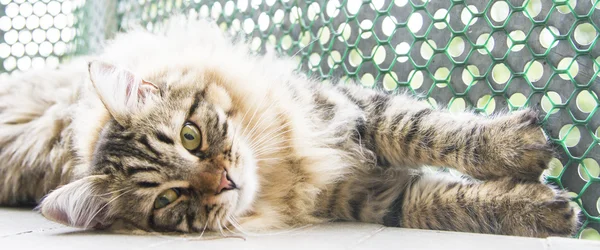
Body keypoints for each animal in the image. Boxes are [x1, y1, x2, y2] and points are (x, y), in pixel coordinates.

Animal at [1, 17, 580, 236]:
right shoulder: (370, 199)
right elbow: (446, 202)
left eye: (190, 135)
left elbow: (429, 130)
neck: (284, 172)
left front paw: (515, 146)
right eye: (168, 199)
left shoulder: (347, 110)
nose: (224, 181)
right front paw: (539, 210)